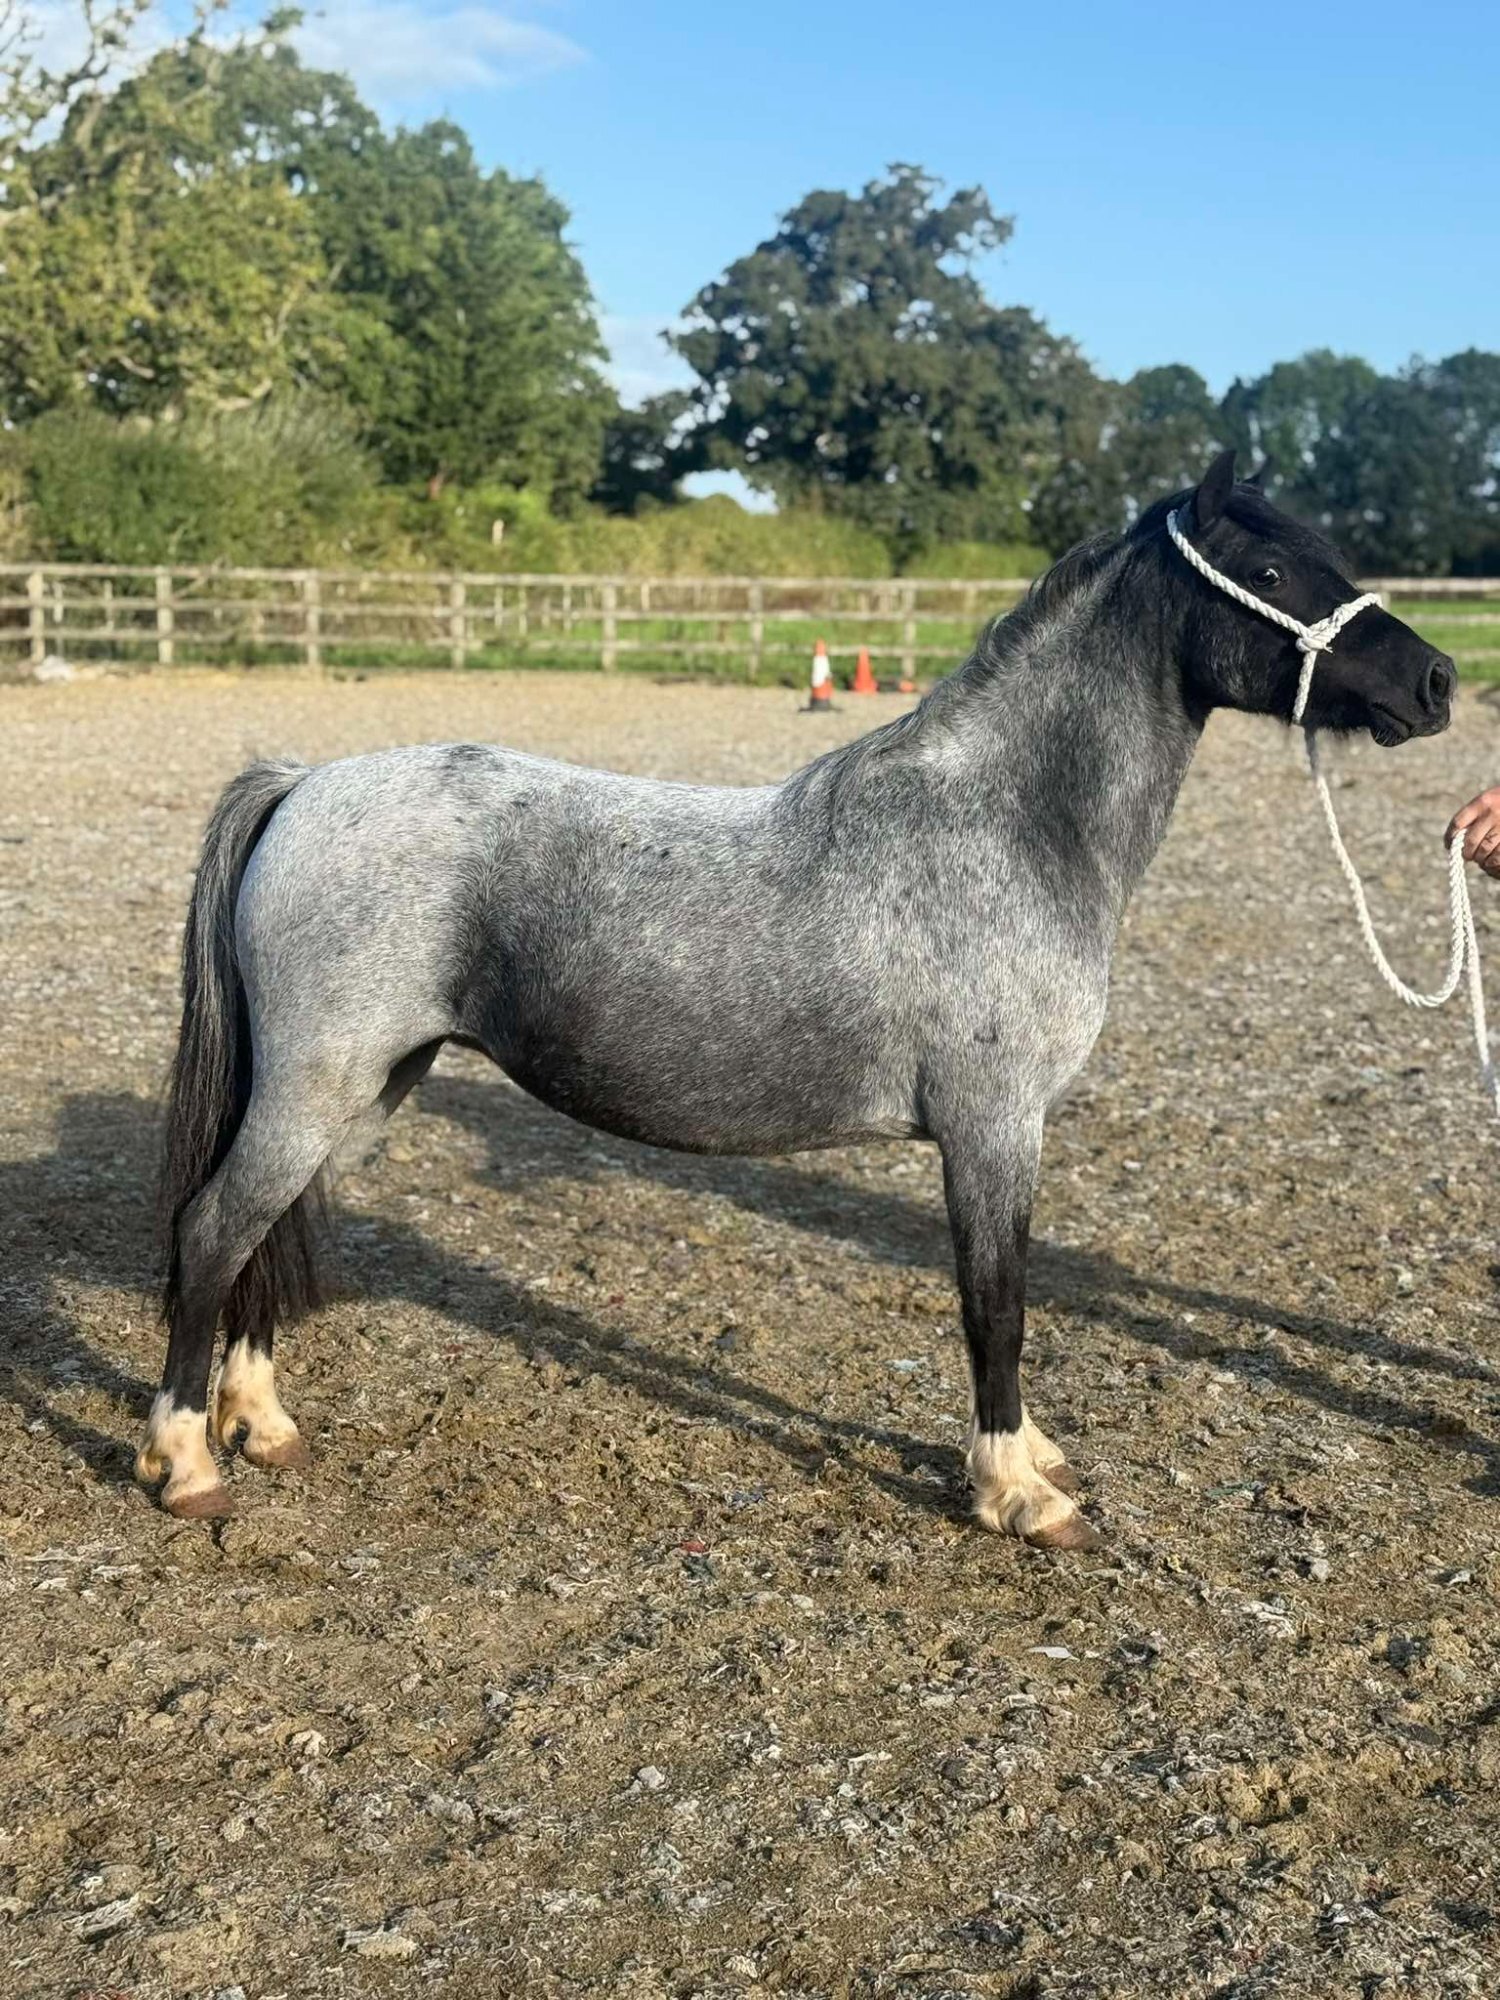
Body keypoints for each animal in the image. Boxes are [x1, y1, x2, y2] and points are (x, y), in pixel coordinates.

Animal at [136, 451, 1455, 1545]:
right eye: (1271, 569)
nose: (1438, 680)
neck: (1005, 825)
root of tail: (306, 783)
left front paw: (1030, 1459)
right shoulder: (992, 1129)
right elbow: (998, 1304)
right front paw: (1015, 1491)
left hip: (367, 1089)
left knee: (272, 1229)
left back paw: (260, 1423)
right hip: (319, 1086)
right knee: (213, 1230)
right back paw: (185, 1462)